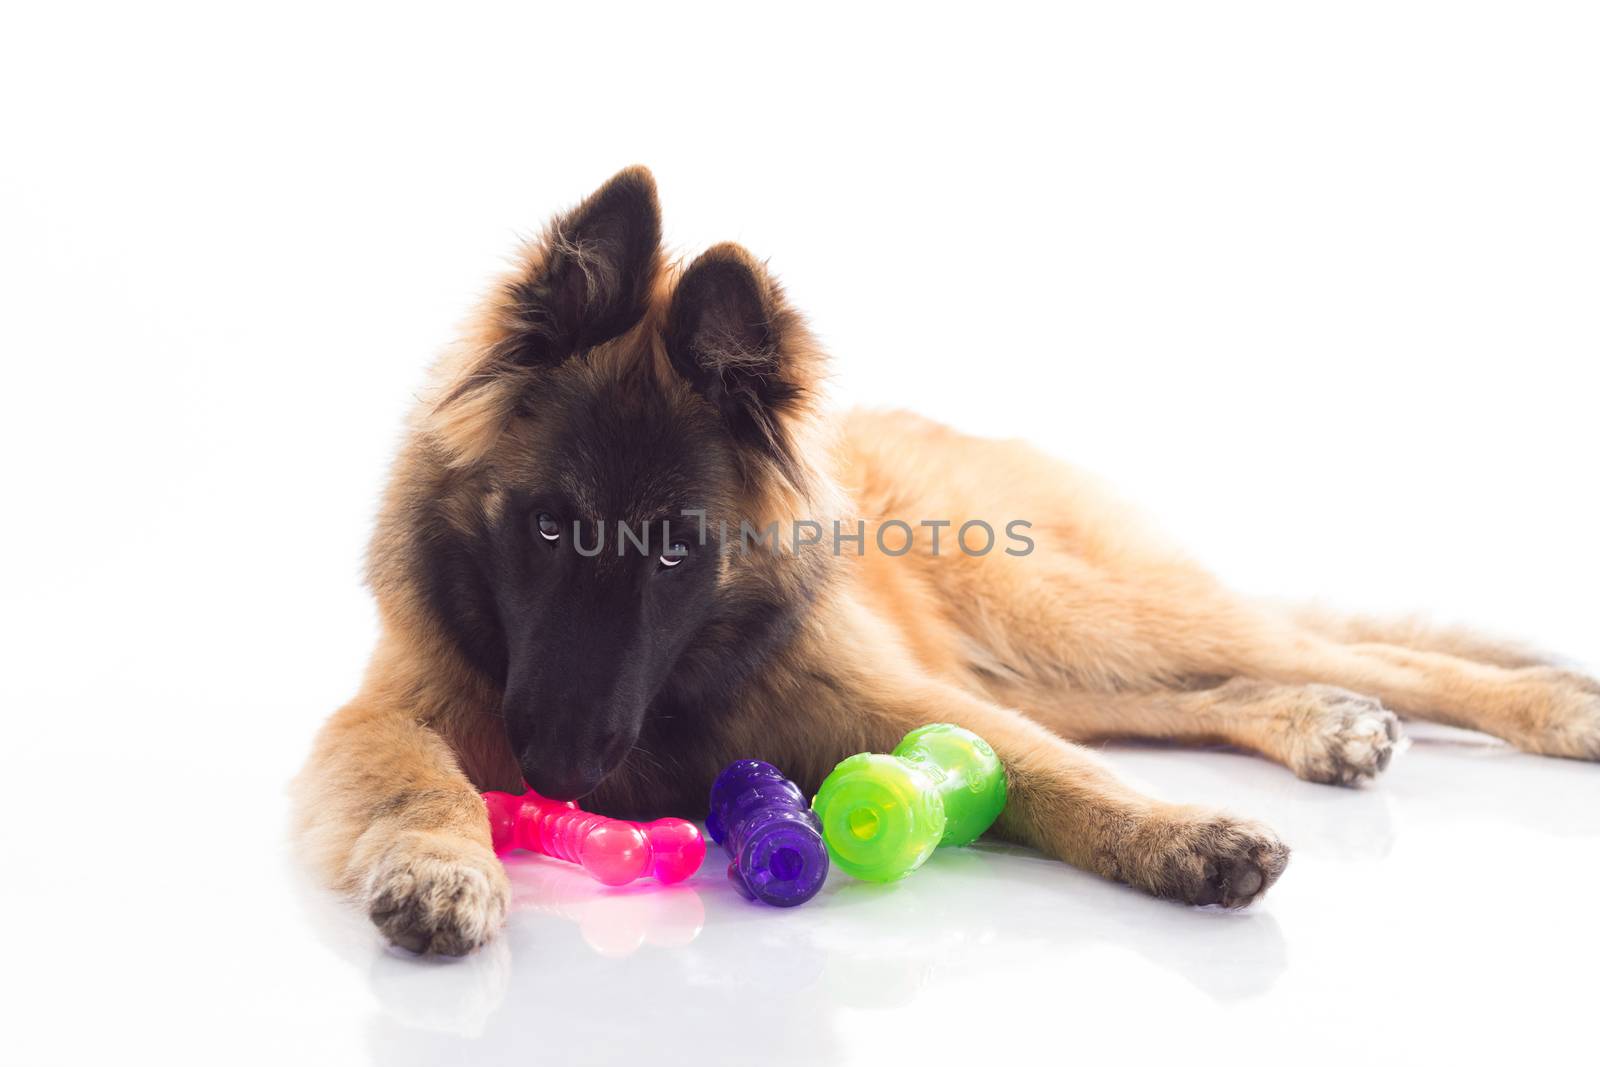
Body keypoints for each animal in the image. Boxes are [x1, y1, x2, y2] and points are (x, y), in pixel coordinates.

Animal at [291, 168, 1600, 959]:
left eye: (675, 547)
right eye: (553, 528)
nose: (560, 765)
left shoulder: (887, 697)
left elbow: (1055, 777)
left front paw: (1179, 833)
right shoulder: (387, 710)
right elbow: (421, 782)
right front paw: (442, 864)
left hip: (1066, 618)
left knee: (1342, 648)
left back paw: (1543, 709)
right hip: (1051, 661)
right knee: (1224, 685)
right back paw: (1325, 721)